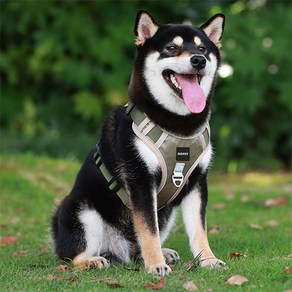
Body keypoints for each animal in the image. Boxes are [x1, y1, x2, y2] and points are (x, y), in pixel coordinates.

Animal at [51, 10, 226, 276]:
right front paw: (155, 265)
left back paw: (162, 253)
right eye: (171, 48)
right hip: (82, 210)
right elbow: (148, 229)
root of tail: (118, 250)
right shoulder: (140, 180)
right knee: (71, 256)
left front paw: (207, 259)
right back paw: (93, 260)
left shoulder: (197, 181)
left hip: (166, 213)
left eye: (203, 49)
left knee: (138, 246)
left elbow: (199, 229)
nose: (199, 60)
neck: (178, 125)